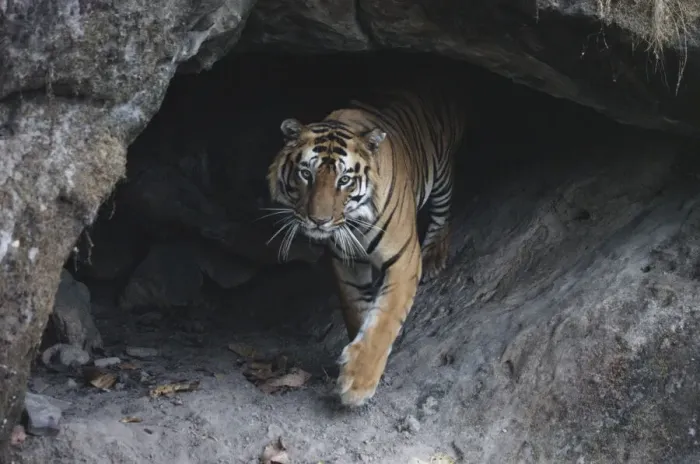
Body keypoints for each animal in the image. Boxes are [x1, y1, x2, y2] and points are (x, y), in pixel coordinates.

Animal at [266, 85, 468, 407]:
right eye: (306, 174)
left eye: (344, 180)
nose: (319, 221)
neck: (354, 223)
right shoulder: (345, 263)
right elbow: (358, 311)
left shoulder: (404, 260)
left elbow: (384, 319)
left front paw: (358, 382)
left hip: (441, 168)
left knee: (443, 205)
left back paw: (435, 254)